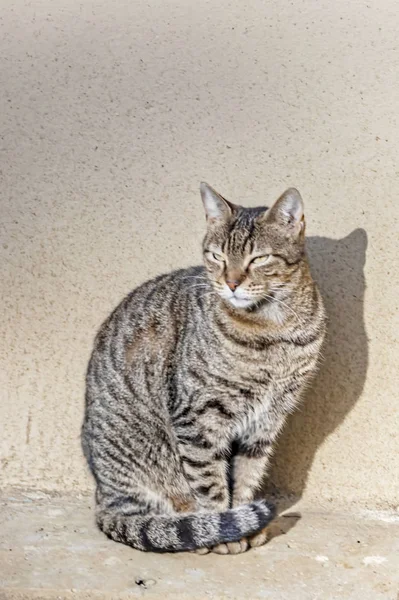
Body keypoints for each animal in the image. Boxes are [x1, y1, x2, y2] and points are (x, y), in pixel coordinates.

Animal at [80, 182, 324, 552]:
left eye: (259, 258)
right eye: (217, 257)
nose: (232, 283)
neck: (273, 329)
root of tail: (103, 498)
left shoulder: (267, 420)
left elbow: (248, 475)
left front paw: (245, 524)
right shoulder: (199, 417)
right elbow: (209, 480)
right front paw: (223, 527)